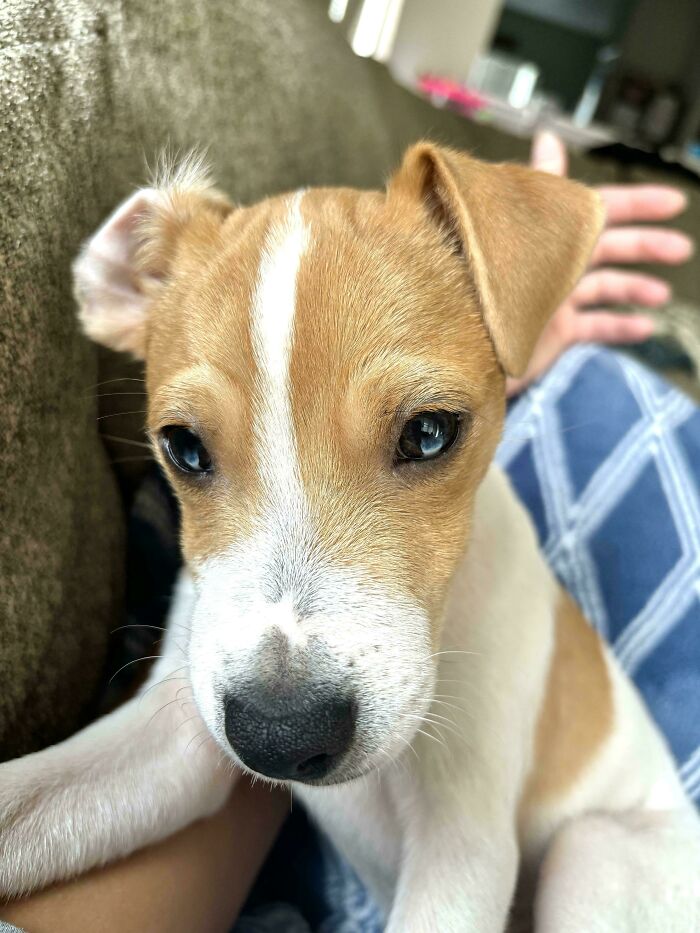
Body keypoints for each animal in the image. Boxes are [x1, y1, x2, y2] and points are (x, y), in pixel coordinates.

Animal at [2, 142, 696, 928]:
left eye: (429, 433)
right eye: (183, 447)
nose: (280, 737)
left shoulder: (464, 847)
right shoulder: (177, 740)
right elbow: (24, 801)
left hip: (593, 852)